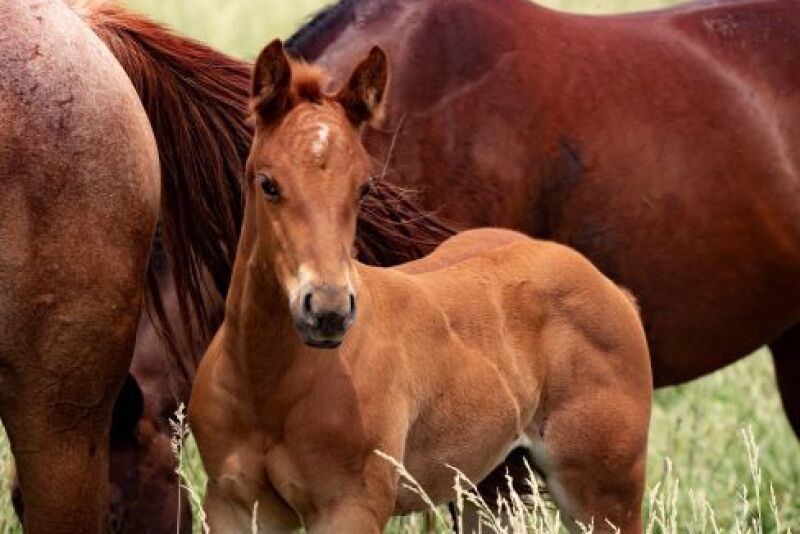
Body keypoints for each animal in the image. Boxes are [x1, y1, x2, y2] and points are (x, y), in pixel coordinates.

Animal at [188, 40, 652, 533]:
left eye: (364, 188)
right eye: (268, 183)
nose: (328, 311)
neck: (267, 385)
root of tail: (612, 290)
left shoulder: (350, 507)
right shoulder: (234, 504)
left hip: (603, 494)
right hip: (488, 490)